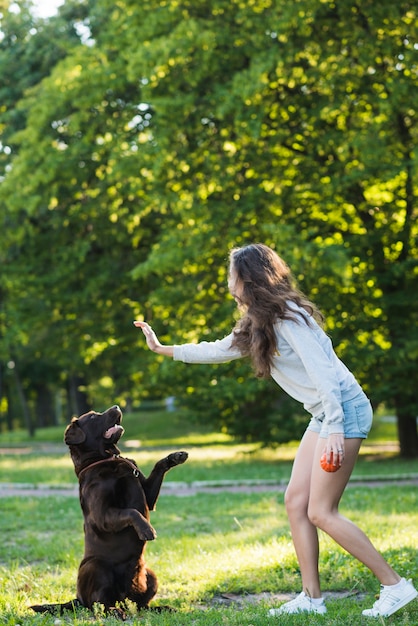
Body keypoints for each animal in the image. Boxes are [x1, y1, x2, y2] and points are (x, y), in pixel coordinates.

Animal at [31, 404, 189, 616]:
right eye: (92, 417)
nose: (116, 406)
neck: (106, 459)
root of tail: (77, 598)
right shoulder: (102, 514)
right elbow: (131, 512)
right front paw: (147, 529)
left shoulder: (147, 495)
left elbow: (157, 469)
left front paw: (175, 457)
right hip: (97, 567)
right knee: (99, 605)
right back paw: (117, 612)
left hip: (150, 574)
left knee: (142, 606)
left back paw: (163, 608)